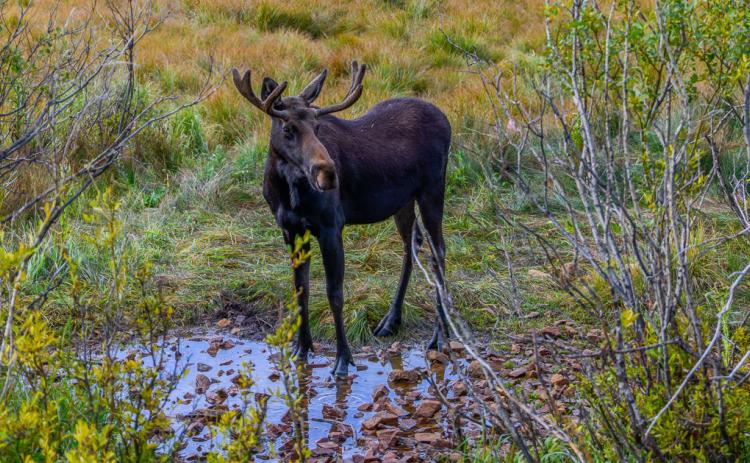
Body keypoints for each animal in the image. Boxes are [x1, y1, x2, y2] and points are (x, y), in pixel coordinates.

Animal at [231, 61, 451, 377]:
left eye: (318, 126)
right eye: (287, 128)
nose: (327, 172)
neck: (288, 191)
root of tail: (446, 119)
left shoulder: (330, 227)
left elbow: (334, 294)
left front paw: (343, 359)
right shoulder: (290, 229)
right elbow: (300, 289)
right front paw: (301, 349)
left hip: (433, 189)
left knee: (438, 252)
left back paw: (440, 336)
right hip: (403, 200)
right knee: (413, 243)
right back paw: (391, 320)